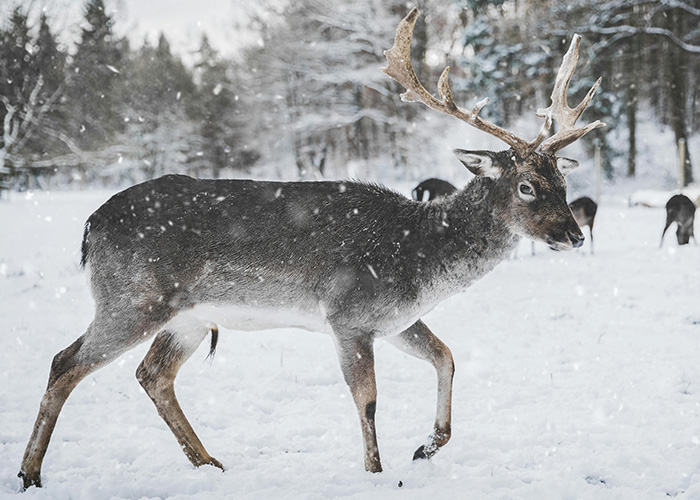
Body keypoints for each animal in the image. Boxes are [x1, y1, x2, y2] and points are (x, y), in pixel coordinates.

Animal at [18, 8, 604, 490]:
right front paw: (376, 472)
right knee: (64, 362)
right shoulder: (349, 314)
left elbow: (447, 356)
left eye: (562, 180)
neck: (420, 259)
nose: (574, 234)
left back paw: (210, 464)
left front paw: (426, 446)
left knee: (152, 375)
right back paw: (31, 473)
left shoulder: (395, 319)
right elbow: (368, 401)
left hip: (186, 317)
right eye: (526, 185)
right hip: (132, 298)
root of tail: (90, 226)